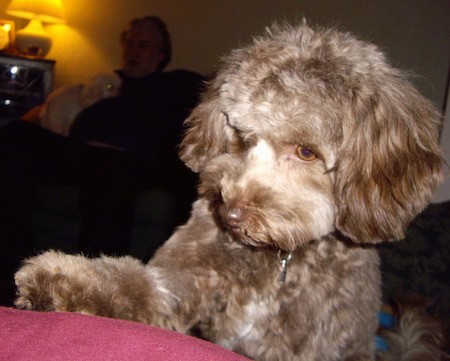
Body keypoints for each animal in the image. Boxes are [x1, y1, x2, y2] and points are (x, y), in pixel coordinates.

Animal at [14, 22, 442, 360]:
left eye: (307, 152)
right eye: (240, 134)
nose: (231, 215)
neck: (277, 260)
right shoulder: (181, 281)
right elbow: (132, 284)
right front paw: (55, 277)